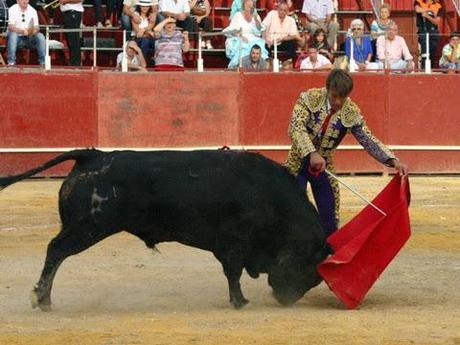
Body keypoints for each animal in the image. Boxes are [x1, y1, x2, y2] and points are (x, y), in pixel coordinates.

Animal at [0, 149, 330, 310]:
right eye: (308, 270)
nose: (285, 301)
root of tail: (93, 155)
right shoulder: (234, 243)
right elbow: (233, 273)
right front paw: (239, 302)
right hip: (87, 226)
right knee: (55, 250)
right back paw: (42, 299)